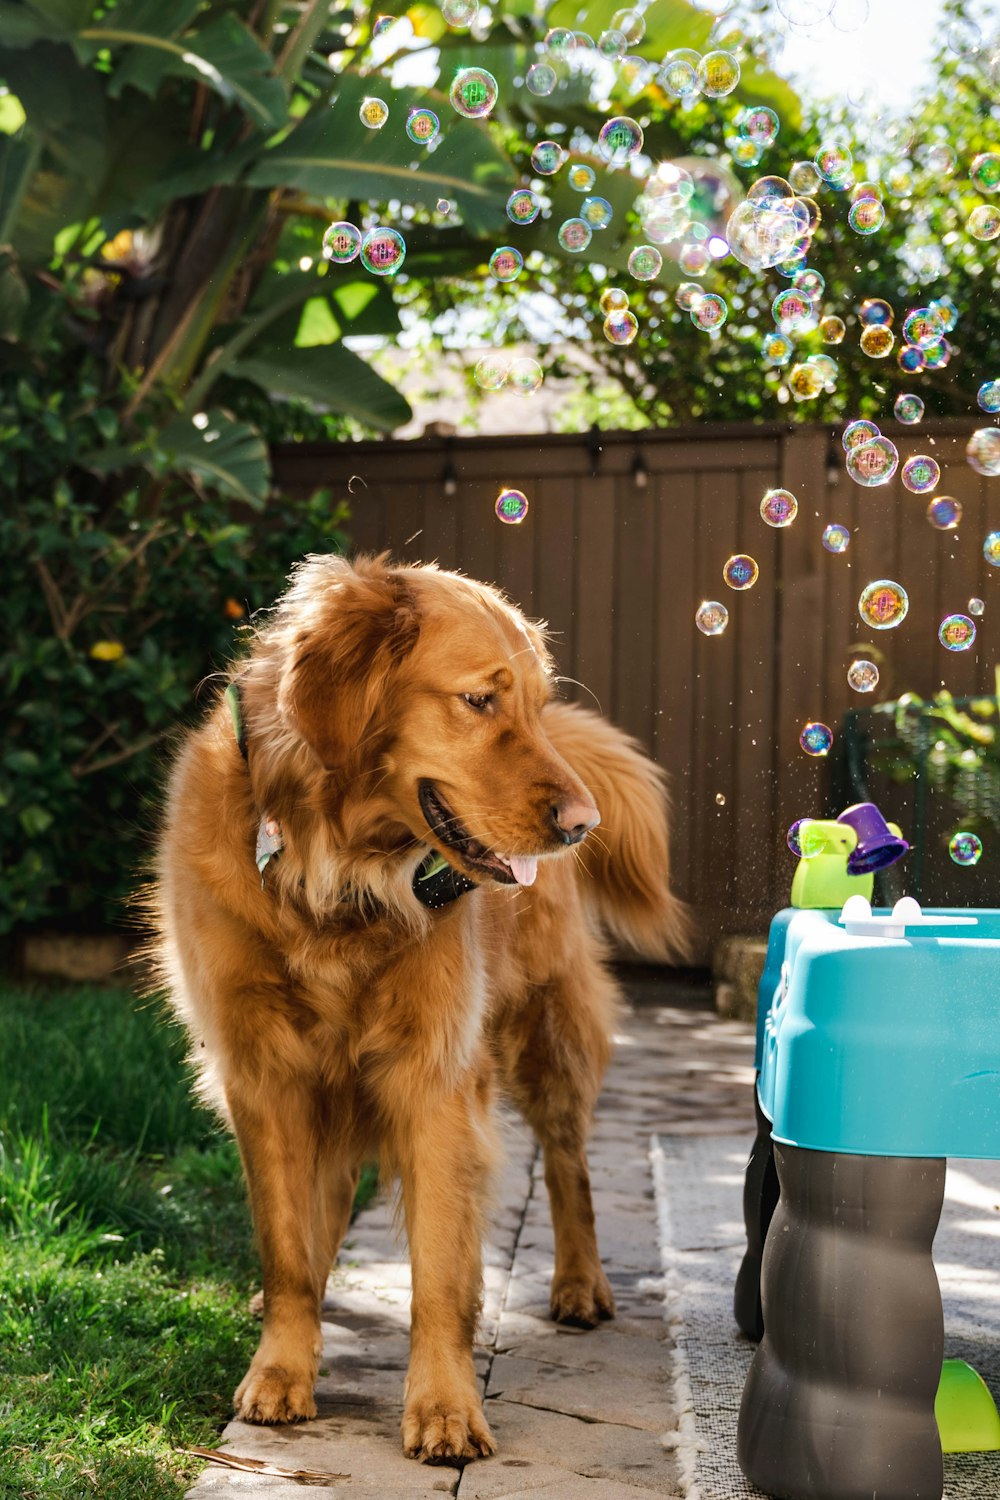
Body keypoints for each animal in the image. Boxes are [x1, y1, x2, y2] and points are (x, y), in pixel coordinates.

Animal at [146, 546, 689, 1458]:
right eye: (479, 700)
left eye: (536, 704)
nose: (583, 822)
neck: (333, 871)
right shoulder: (263, 1072)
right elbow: (286, 1244)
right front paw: (282, 1366)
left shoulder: (436, 1075)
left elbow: (439, 1267)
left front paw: (444, 1405)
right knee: (327, 1202)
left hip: (547, 1039)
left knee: (569, 1164)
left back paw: (580, 1283)